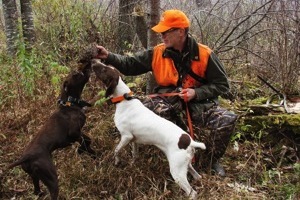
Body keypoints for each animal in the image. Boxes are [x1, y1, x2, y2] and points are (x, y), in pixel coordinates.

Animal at [7, 64, 95, 200]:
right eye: (76, 74)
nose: (87, 67)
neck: (69, 104)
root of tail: (26, 157)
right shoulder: (74, 133)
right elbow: (86, 139)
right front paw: (82, 150)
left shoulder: (77, 133)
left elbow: (87, 140)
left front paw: (90, 152)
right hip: (51, 177)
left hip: (34, 177)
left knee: (37, 190)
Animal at [92, 61, 205, 200]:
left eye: (104, 69)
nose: (93, 62)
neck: (124, 100)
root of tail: (190, 142)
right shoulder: (133, 140)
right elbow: (134, 154)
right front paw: (132, 164)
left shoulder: (126, 136)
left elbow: (116, 151)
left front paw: (117, 161)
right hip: (185, 164)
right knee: (197, 176)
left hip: (177, 171)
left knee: (192, 192)